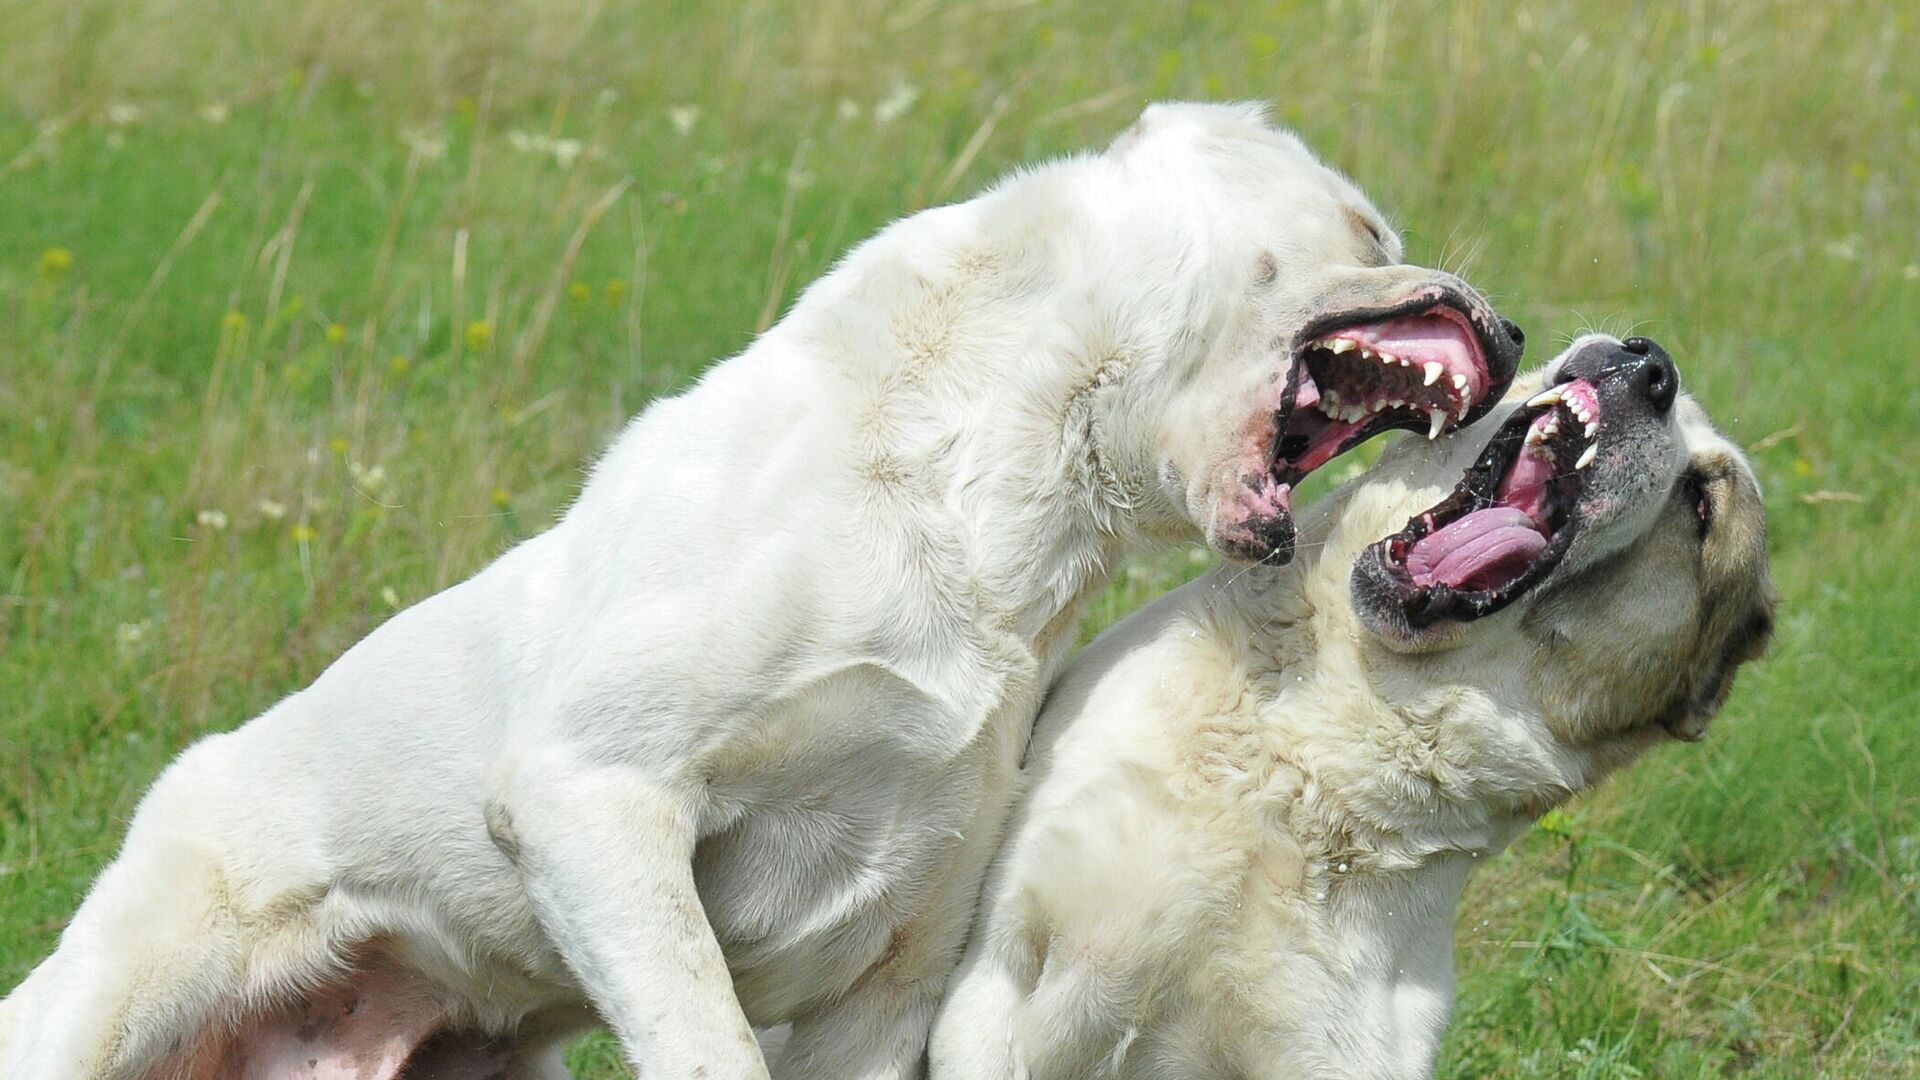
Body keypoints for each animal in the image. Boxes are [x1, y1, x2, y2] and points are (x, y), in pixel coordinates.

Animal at [3, 102, 1528, 1076]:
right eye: (1367, 224)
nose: (1512, 329)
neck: (996, 494)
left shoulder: (893, 967)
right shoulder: (596, 799)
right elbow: (704, 1040)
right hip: (96, 1006)